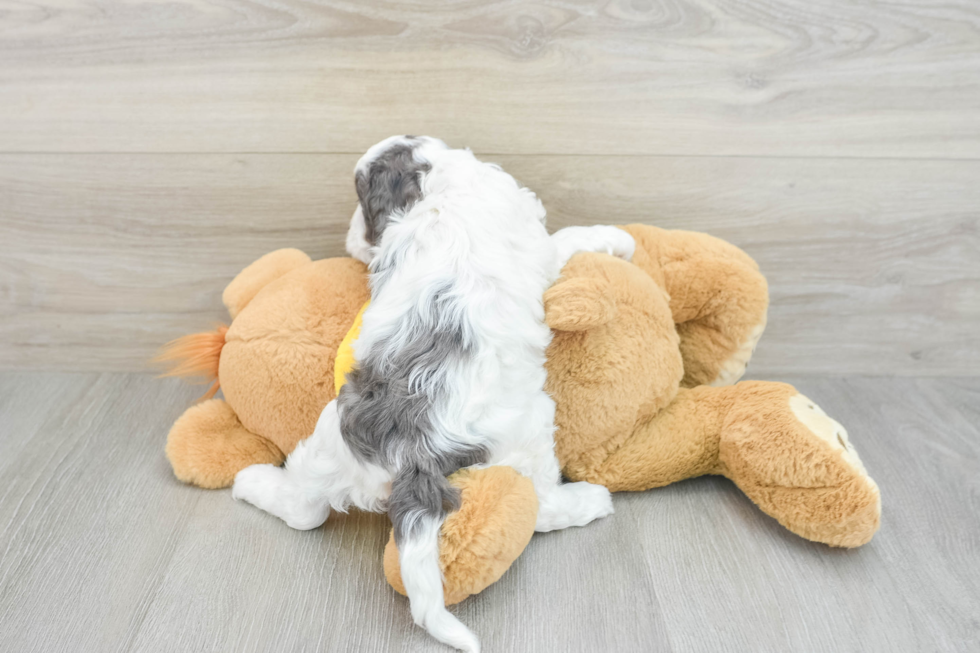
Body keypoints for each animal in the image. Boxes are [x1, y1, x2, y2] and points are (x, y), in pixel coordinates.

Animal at [234, 135, 640, 648]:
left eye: (362, 203)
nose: (351, 237)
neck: (438, 189)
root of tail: (412, 452)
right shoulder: (541, 245)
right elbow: (567, 238)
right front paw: (620, 238)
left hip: (329, 441)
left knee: (303, 509)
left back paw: (250, 481)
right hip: (529, 429)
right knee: (541, 505)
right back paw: (589, 501)